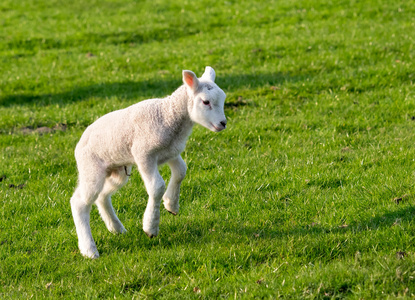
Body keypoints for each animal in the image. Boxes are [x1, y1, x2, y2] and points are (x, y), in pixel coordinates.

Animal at [71, 65, 228, 258]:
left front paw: (171, 204)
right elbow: (157, 186)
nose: (223, 123)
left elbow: (181, 172)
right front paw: (151, 226)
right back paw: (89, 249)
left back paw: (116, 228)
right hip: (91, 168)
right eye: (206, 102)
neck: (168, 115)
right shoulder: (144, 154)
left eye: (223, 99)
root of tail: (79, 143)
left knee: (102, 196)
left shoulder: (171, 152)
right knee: (79, 202)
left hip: (117, 171)